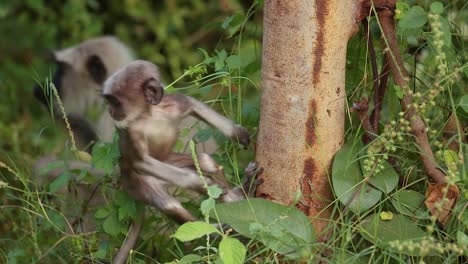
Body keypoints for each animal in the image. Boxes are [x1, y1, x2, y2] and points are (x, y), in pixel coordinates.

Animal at [100, 60, 260, 264]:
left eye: (115, 102)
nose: (110, 111)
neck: (149, 114)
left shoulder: (173, 105)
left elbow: (192, 104)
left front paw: (239, 134)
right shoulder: (131, 131)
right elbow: (141, 162)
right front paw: (199, 182)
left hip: (169, 161)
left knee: (205, 161)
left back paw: (241, 192)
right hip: (138, 181)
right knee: (172, 204)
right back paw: (221, 226)